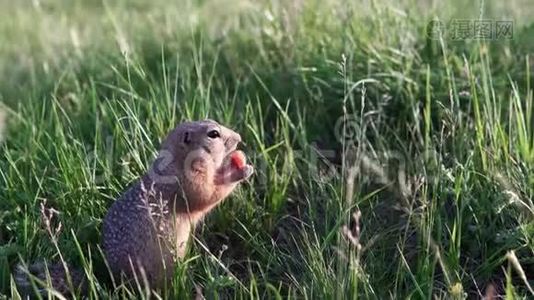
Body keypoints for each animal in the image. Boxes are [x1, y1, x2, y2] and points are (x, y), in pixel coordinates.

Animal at [13, 119, 254, 296]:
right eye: (213, 134)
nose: (240, 138)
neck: (177, 161)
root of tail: (114, 283)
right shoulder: (188, 182)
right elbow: (206, 195)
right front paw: (239, 169)